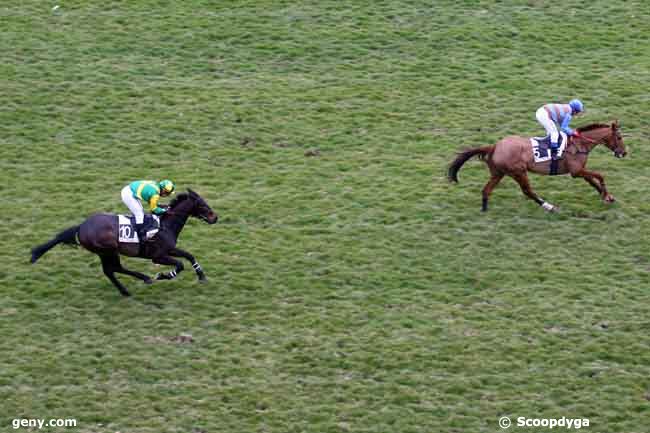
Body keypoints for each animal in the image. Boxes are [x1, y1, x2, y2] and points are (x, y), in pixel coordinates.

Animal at [31, 190, 218, 296]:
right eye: (202, 204)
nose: (215, 217)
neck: (165, 224)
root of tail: (81, 227)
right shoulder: (158, 256)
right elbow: (179, 265)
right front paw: (163, 275)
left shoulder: (170, 249)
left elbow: (189, 256)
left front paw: (201, 276)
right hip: (108, 250)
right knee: (113, 269)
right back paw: (139, 282)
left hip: (105, 252)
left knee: (111, 270)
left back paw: (131, 286)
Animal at [446, 121, 624, 211]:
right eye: (620, 137)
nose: (624, 152)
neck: (579, 144)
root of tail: (495, 146)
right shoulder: (576, 171)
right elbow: (600, 175)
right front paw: (607, 195)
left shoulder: (580, 171)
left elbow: (593, 181)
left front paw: (607, 196)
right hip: (518, 171)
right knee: (527, 191)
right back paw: (549, 206)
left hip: (498, 173)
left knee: (486, 190)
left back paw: (484, 209)